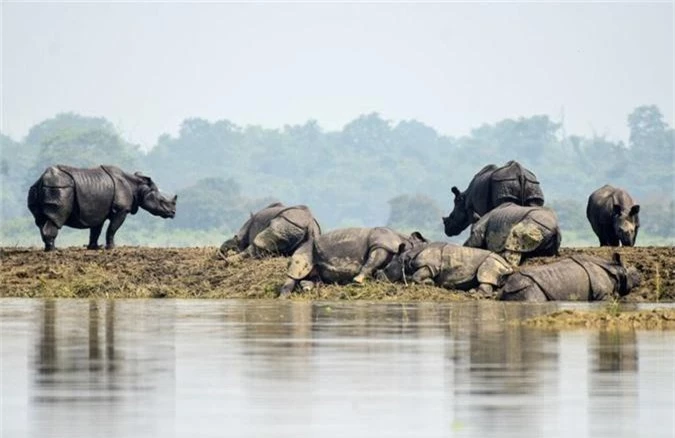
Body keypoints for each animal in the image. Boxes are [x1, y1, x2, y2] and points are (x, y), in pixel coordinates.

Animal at [28, 165, 177, 250]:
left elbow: (96, 230)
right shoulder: (121, 210)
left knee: (40, 221)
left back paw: (49, 248)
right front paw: (111, 248)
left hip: (39, 188)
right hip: (59, 188)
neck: (138, 187)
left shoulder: (97, 211)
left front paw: (93, 248)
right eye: (162, 201)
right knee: (55, 219)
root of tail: (42, 179)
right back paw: (53, 250)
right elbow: (112, 229)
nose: (173, 213)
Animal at [278, 228, 426, 296]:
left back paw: (306, 287)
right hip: (307, 247)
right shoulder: (380, 244)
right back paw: (284, 297)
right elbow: (372, 261)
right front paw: (358, 280)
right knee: (296, 271)